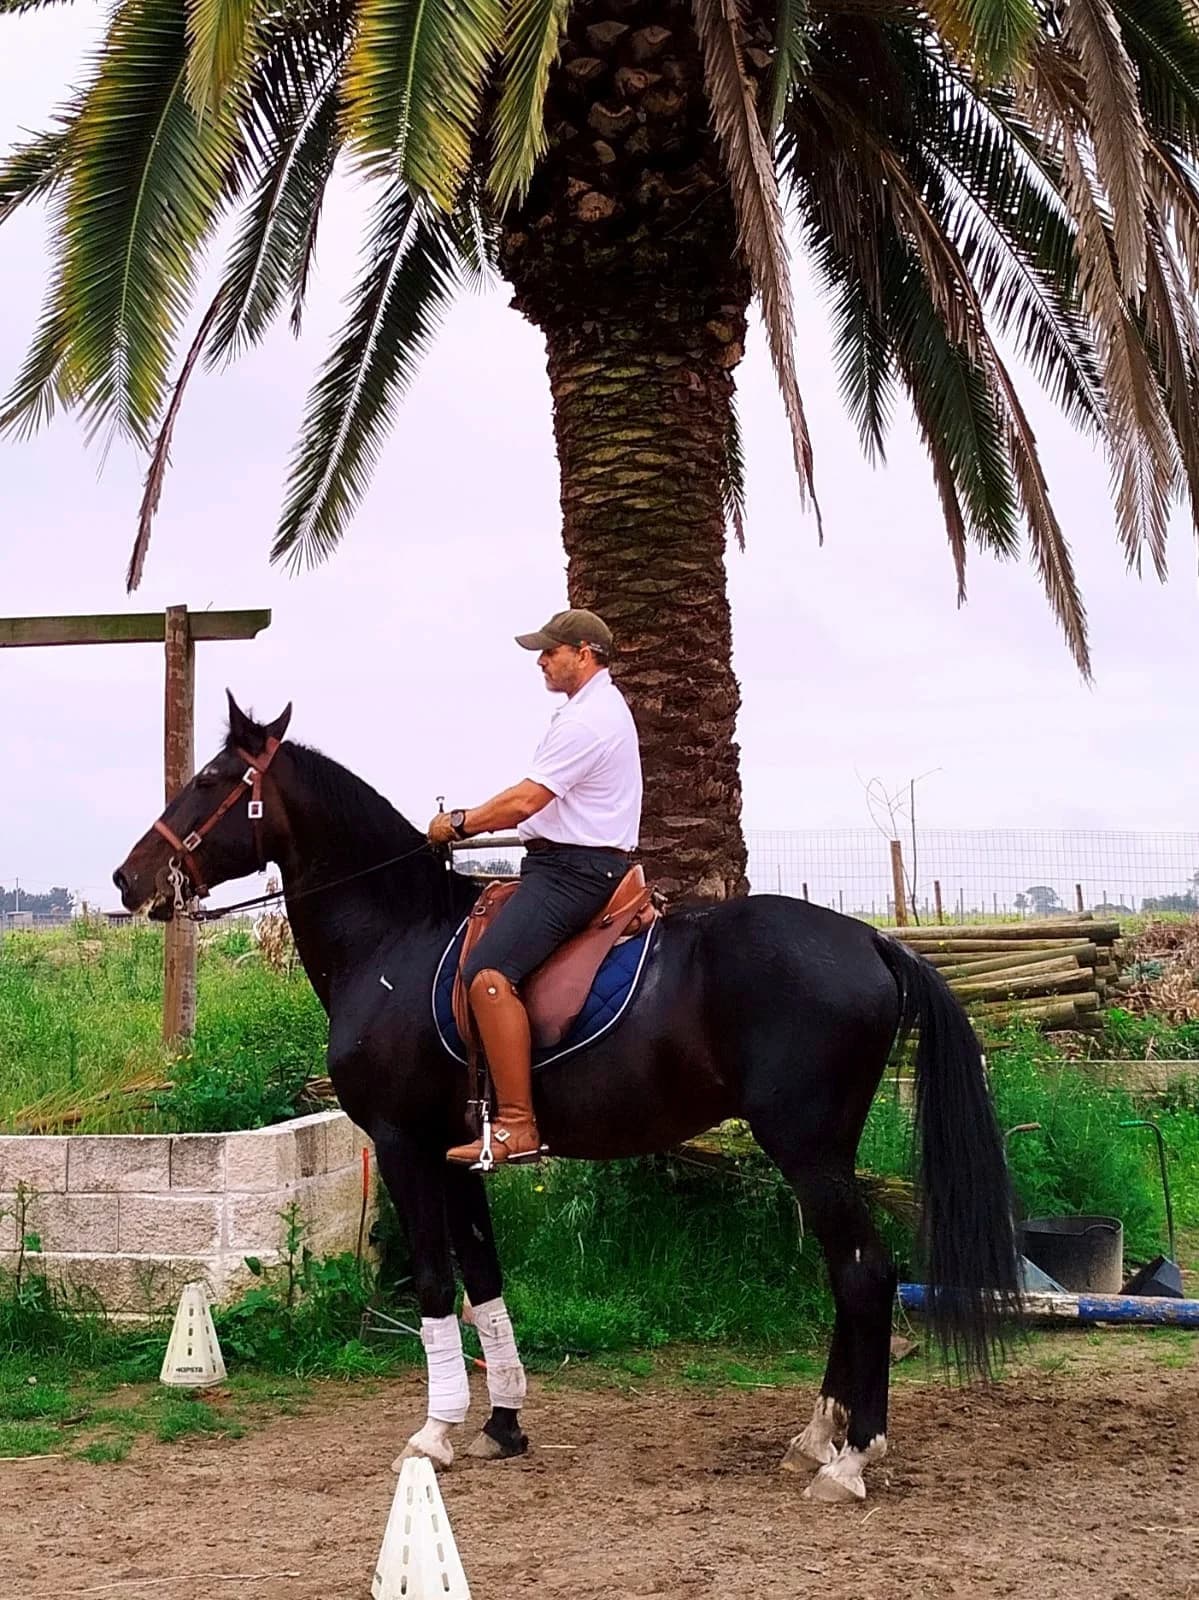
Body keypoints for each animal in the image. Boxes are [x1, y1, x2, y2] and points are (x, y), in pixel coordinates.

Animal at [113, 694, 1018, 1503]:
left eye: (211, 779)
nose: (128, 879)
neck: (397, 938)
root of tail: (871, 939)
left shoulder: (405, 1145)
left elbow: (436, 1283)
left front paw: (435, 1432)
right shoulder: (458, 1156)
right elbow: (483, 1281)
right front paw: (501, 1423)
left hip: (806, 1148)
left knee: (863, 1274)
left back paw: (850, 1458)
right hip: (821, 1152)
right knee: (845, 1273)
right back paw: (816, 1435)